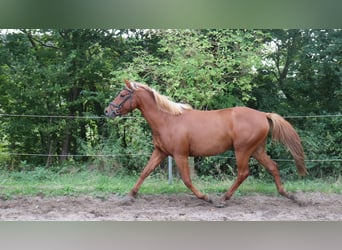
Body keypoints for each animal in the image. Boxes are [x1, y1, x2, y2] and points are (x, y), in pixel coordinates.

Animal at [105, 80, 308, 207]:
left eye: (122, 94)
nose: (108, 111)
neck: (168, 120)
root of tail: (264, 115)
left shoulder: (180, 155)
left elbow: (187, 180)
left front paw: (206, 197)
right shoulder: (160, 152)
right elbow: (145, 172)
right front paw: (129, 196)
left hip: (242, 150)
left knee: (243, 173)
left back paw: (223, 199)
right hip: (257, 150)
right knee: (273, 167)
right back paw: (290, 196)